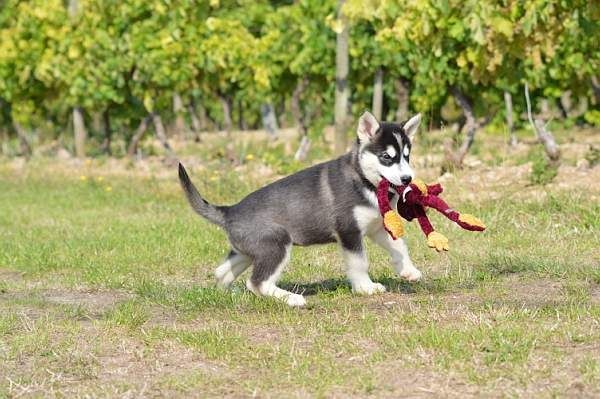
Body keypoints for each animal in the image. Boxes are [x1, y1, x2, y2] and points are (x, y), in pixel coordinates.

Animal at [178, 111, 422, 308]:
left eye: (407, 156)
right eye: (386, 157)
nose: (407, 178)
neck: (363, 180)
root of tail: (230, 210)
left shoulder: (376, 227)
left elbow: (400, 246)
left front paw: (408, 271)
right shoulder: (349, 232)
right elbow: (359, 262)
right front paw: (365, 288)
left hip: (246, 251)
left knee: (221, 272)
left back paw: (230, 294)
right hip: (277, 243)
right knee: (257, 282)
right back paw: (292, 299)